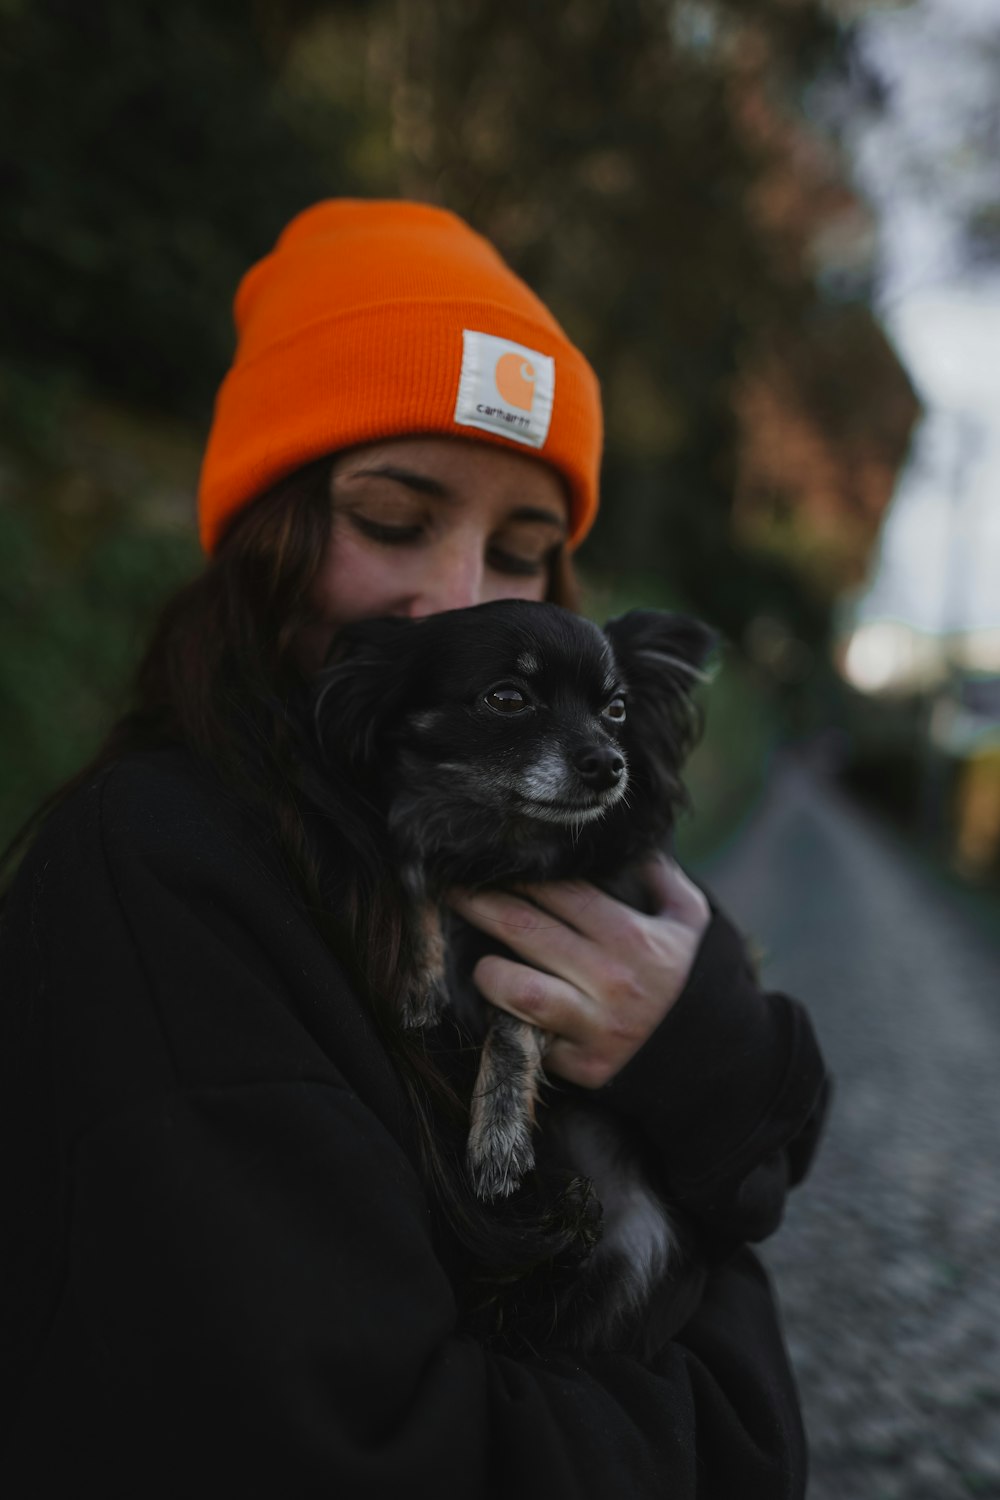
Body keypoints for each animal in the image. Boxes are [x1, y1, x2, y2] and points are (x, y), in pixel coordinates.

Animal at [308, 600, 716, 1362]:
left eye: (617, 710)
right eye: (508, 699)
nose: (609, 763)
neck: (498, 838)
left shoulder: (560, 964)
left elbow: (510, 1021)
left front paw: (497, 1135)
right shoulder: (424, 846)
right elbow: (416, 880)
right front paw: (419, 977)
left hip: (637, 1243)